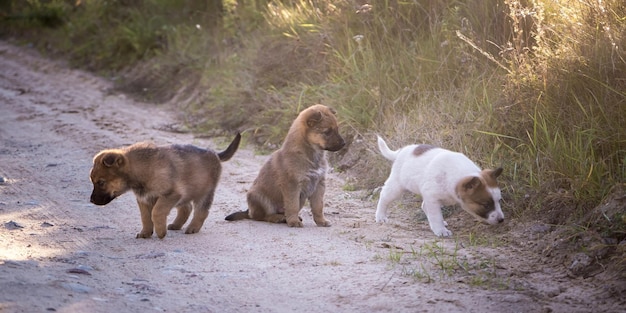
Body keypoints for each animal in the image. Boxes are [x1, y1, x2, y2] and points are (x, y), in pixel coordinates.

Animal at [89, 133, 240, 238]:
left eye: (101, 182)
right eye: (92, 181)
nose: (91, 200)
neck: (141, 169)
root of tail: (215, 154)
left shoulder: (170, 195)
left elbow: (156, 212)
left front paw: (161, 231)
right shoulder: (144, 199)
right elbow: (145, 217)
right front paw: (146, 233)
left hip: (204, 193)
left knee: (201, 211)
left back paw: (193, 228)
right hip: (186, 193)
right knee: (187, 208)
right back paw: (177, 225)